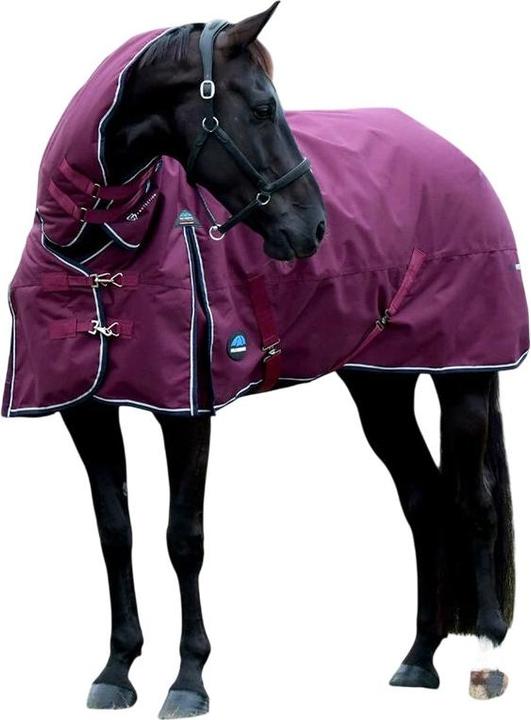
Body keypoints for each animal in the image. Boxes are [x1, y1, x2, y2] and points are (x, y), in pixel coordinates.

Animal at [2, 4, 528, 716]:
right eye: (260, 107)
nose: (314, 229)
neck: (99, 247)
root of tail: (459, 159)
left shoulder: (187, 413)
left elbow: (183, 538)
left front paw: (188, 678)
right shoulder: (84, 411)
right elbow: (116, 532)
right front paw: (117, 669)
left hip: (465, 376)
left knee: (474, 504)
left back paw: (488, 656)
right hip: (380, 387)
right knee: (423, 499)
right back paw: (418, 660)